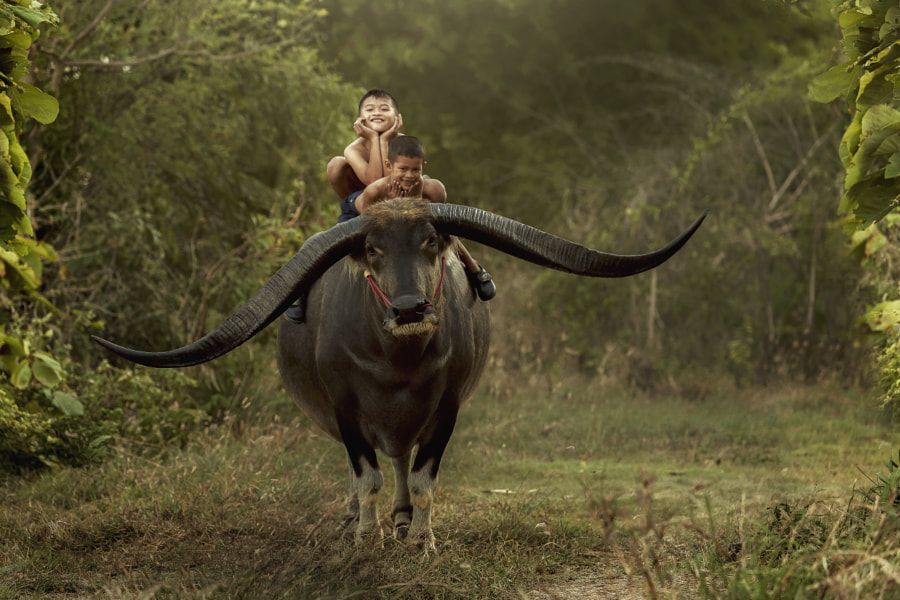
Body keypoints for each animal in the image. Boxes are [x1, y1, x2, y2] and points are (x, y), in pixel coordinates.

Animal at [93, 200, 704, 552]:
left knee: (404, 463)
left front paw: (422, 542)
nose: (410, 308)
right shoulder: (345, 411)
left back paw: (404, 519)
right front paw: (366, 539)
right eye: (373, 248)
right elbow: (365, 476)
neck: (397, 363)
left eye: (431, 241)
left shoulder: (447, 408)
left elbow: (425, 478)